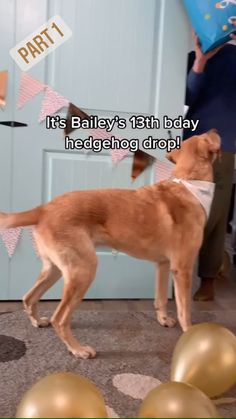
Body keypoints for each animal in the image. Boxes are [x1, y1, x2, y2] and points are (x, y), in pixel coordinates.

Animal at [0, 130, 219, 358]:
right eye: (207, 135)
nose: (214, 130)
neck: (189, 184)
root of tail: (44, 209)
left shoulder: (163, 265)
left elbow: (160, 299)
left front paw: (163, 320)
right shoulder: (182, 269)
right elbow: (185, 309)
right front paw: (191, 334)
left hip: (55, 269)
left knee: (28, 297)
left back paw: (37, 321)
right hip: (83, 270)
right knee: (59, 318)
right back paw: (78, 349)